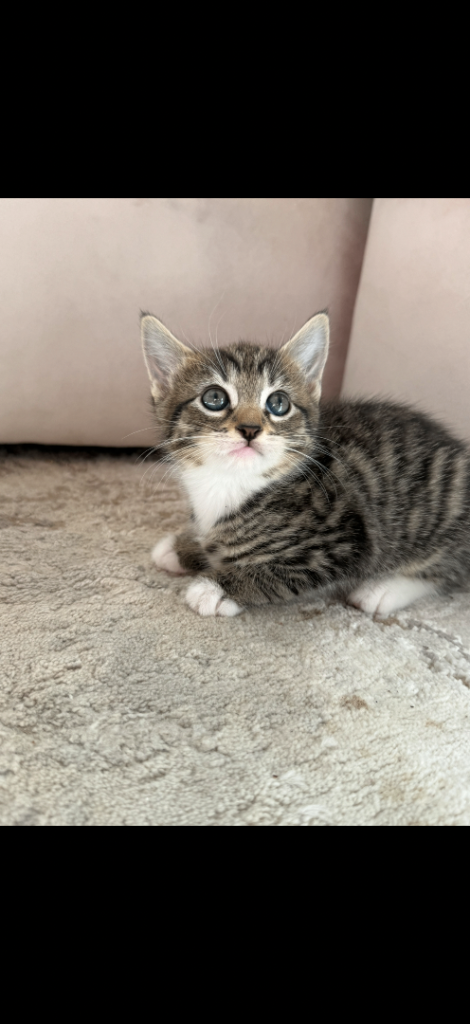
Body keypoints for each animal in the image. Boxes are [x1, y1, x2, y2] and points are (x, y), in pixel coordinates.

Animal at [141, 312, 470, 618]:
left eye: (278, 404)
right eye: (214, 398)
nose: (250, 429)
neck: (231, 483)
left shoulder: (344, 540)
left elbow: (279, 570)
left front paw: (216, 588)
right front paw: (183, 547)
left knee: (447, 571)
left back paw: (382, 590)